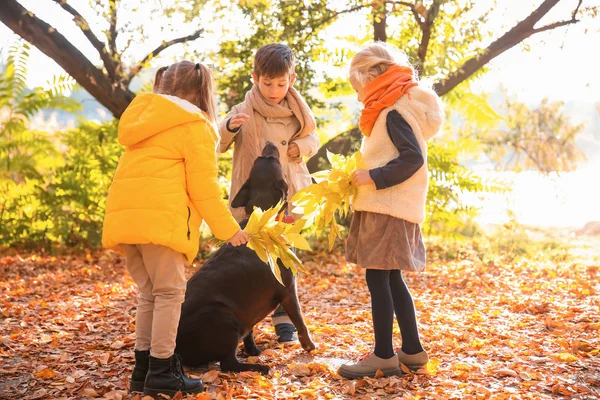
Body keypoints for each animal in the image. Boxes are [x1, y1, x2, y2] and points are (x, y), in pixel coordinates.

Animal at [176, 142, 316, 374]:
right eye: (272, 160)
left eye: (261, 158)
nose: (270, 143)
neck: (263, 220)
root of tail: (177, 351)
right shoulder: (288, 289)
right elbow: (300, 320)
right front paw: (309, 345)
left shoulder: (249, 309)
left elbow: (250, 330)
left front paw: (253, 350)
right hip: (224, 316)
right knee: (228, 364)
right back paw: (260, 368)